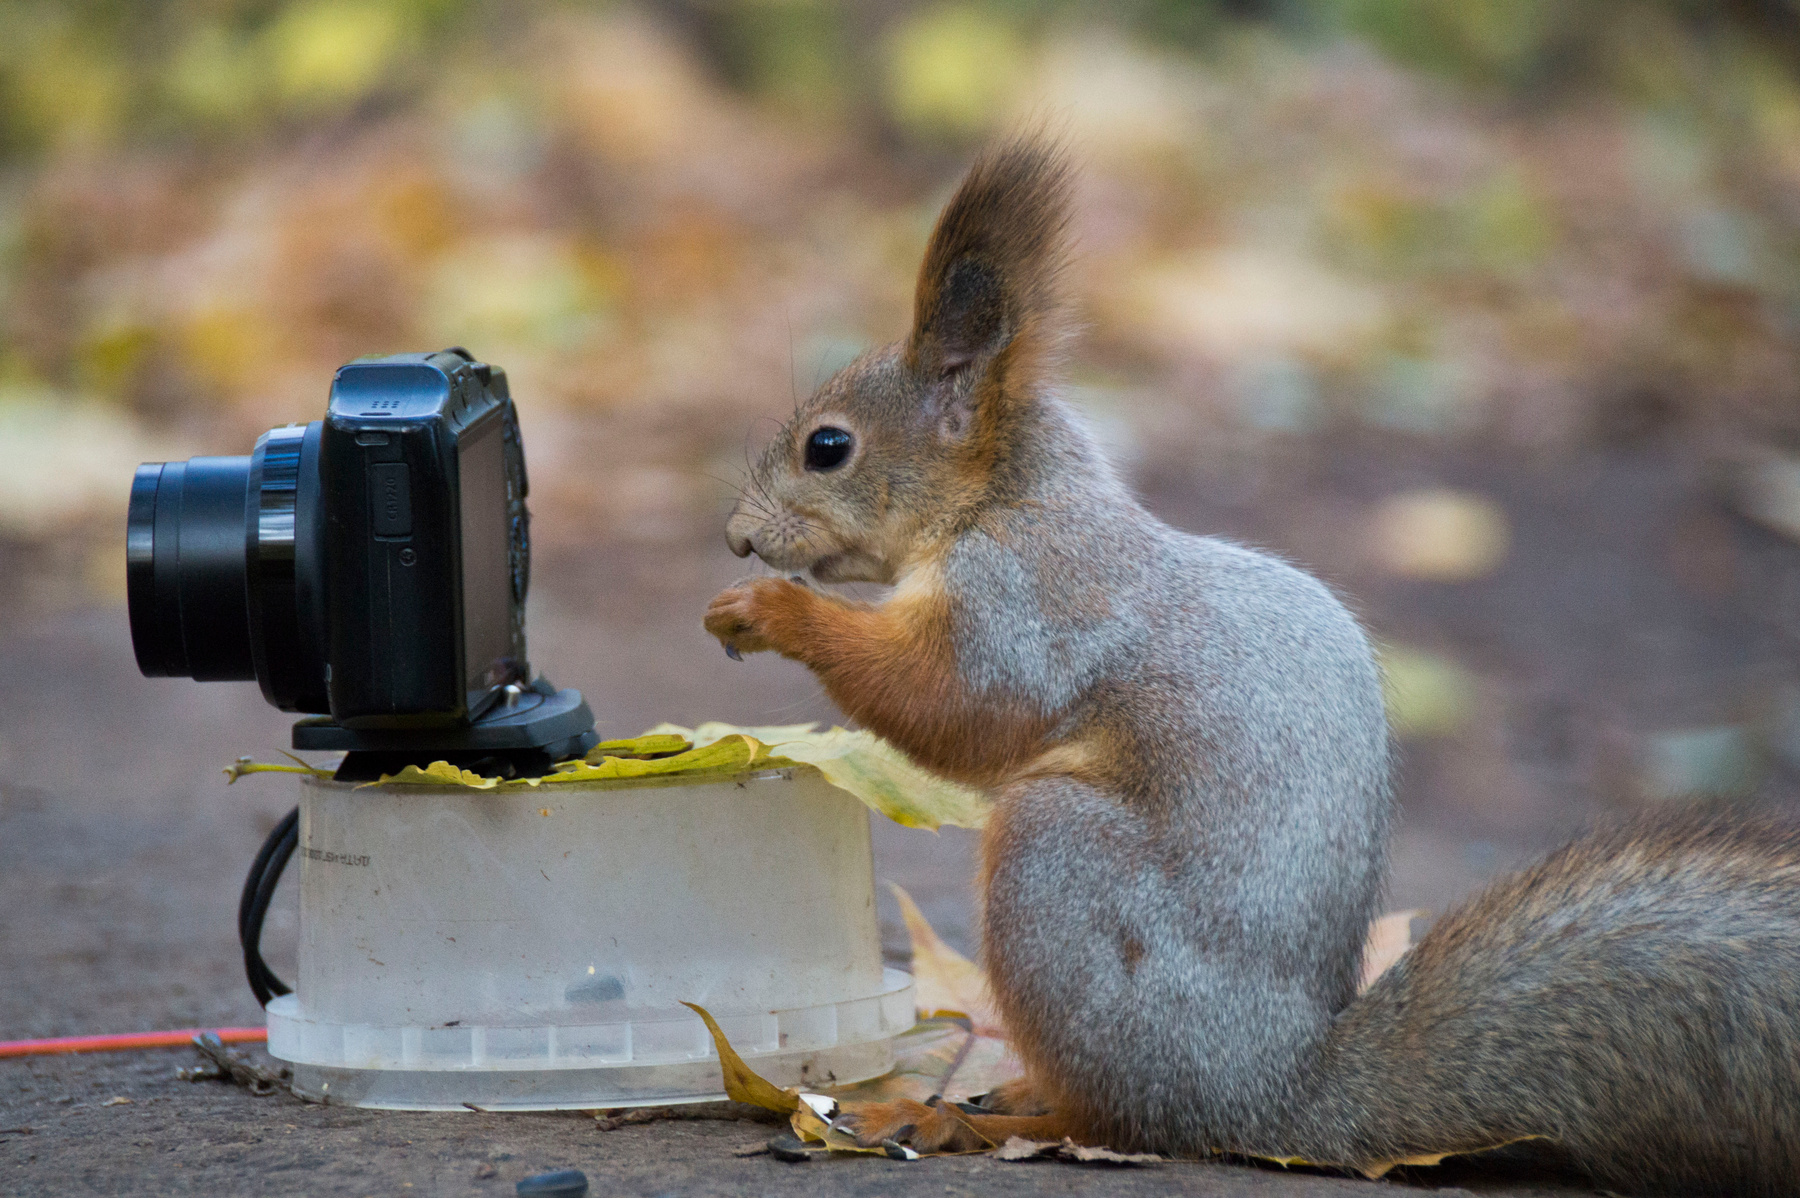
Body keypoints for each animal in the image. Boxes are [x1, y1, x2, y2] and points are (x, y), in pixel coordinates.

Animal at [703, 135, 1800, 1195]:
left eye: (828, 447)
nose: (737, 539)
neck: (1005, 500)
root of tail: (1271, 1093)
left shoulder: (1026, 605)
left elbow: (953, 704)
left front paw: (773, 612)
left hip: (1056, 864)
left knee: (1118, 1120)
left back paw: (966, 1119)